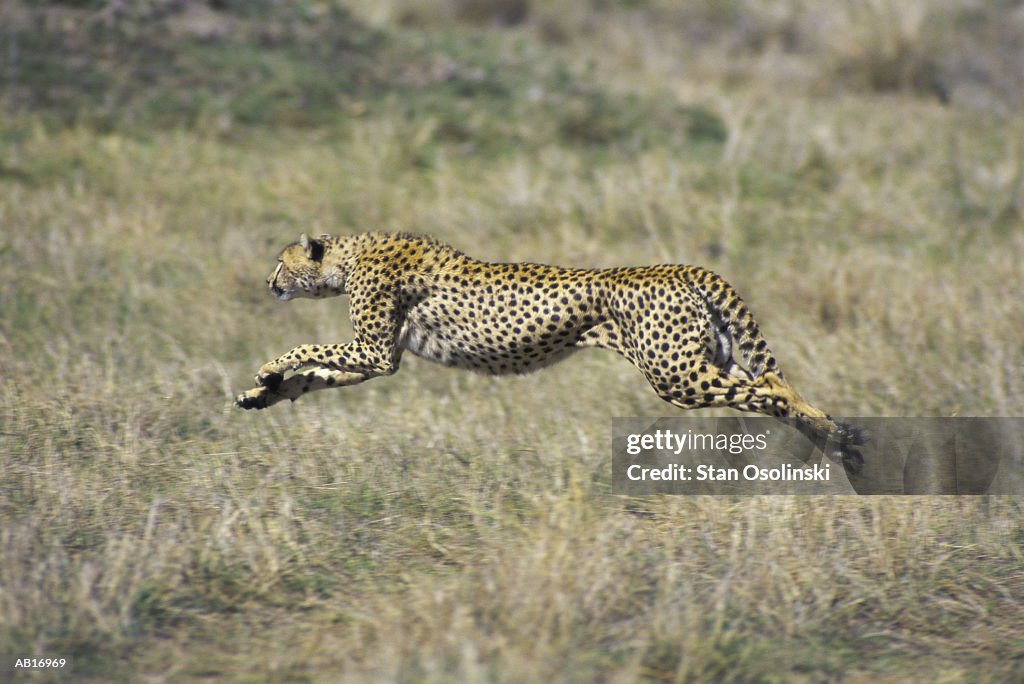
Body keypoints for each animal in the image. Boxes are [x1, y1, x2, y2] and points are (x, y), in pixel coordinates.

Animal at [237, 232, 864, 473]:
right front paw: (260, 393)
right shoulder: (376, 360)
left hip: (676, 376)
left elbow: (307, 348)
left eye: (279, 262)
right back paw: (835, 437)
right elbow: (314, 375)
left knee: (767, 391)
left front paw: (266, 368)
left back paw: (833, 437)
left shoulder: (374, 349)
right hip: (706, 357)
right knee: (775, 384)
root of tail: (680, 266)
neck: (348, 256)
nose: (267, 283)